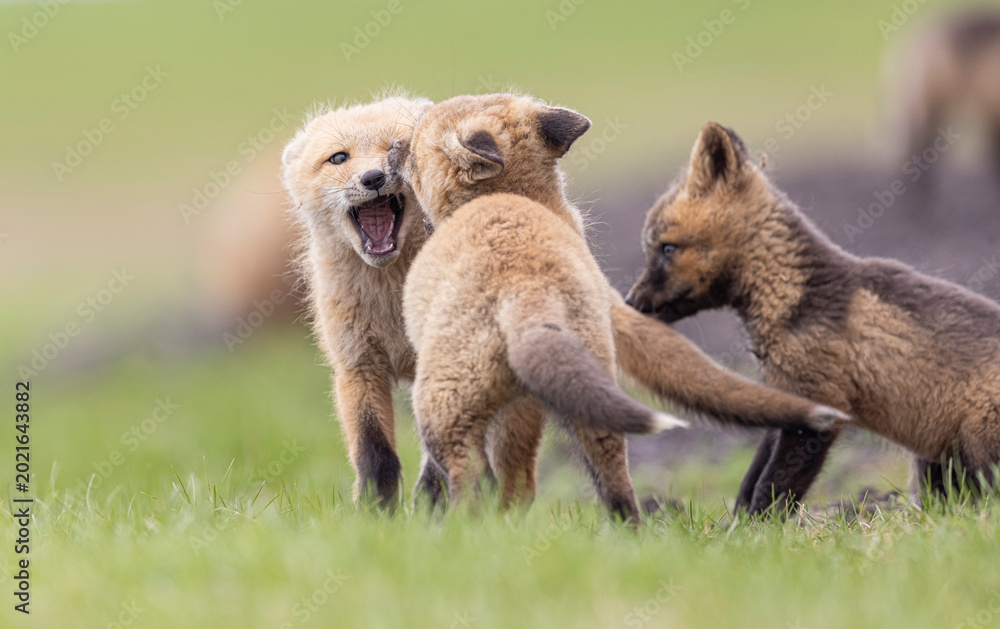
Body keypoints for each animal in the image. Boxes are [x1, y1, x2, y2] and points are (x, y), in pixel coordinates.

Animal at [391, 95, 849, 520]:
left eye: (413, 147)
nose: (394, 147)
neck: (524, 200)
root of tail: (528, 286)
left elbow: (431, 475)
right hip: (572, 398)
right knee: (591, 481)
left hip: (442, 406)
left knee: (472, 477)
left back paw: (459, 533)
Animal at [627, 121, 1000, 515]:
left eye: (667, 248)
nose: (630, 302)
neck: (794, 297)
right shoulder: (787, 399)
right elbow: (750, 481)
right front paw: (736, 526)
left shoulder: (820, 409)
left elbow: (772, 487)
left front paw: (761, 527)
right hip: (936, 464)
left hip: (974, 452)